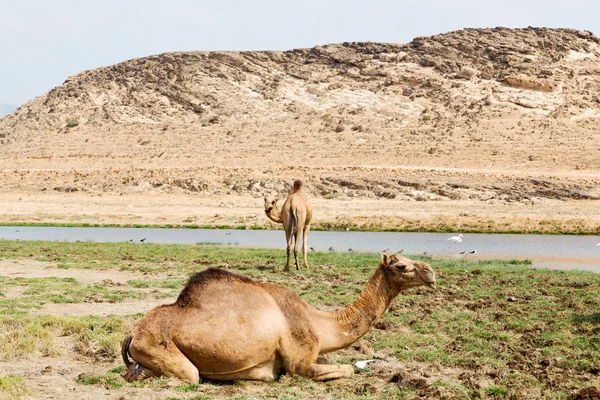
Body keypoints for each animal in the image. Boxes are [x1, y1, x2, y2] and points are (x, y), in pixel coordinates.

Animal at [120, 253, 436, 384]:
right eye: (401, 266)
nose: (430, 271)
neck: (316, 320)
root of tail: (133, 333)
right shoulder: (299, 360)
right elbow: (345, 369)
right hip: (159, 348)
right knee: (187, 375)